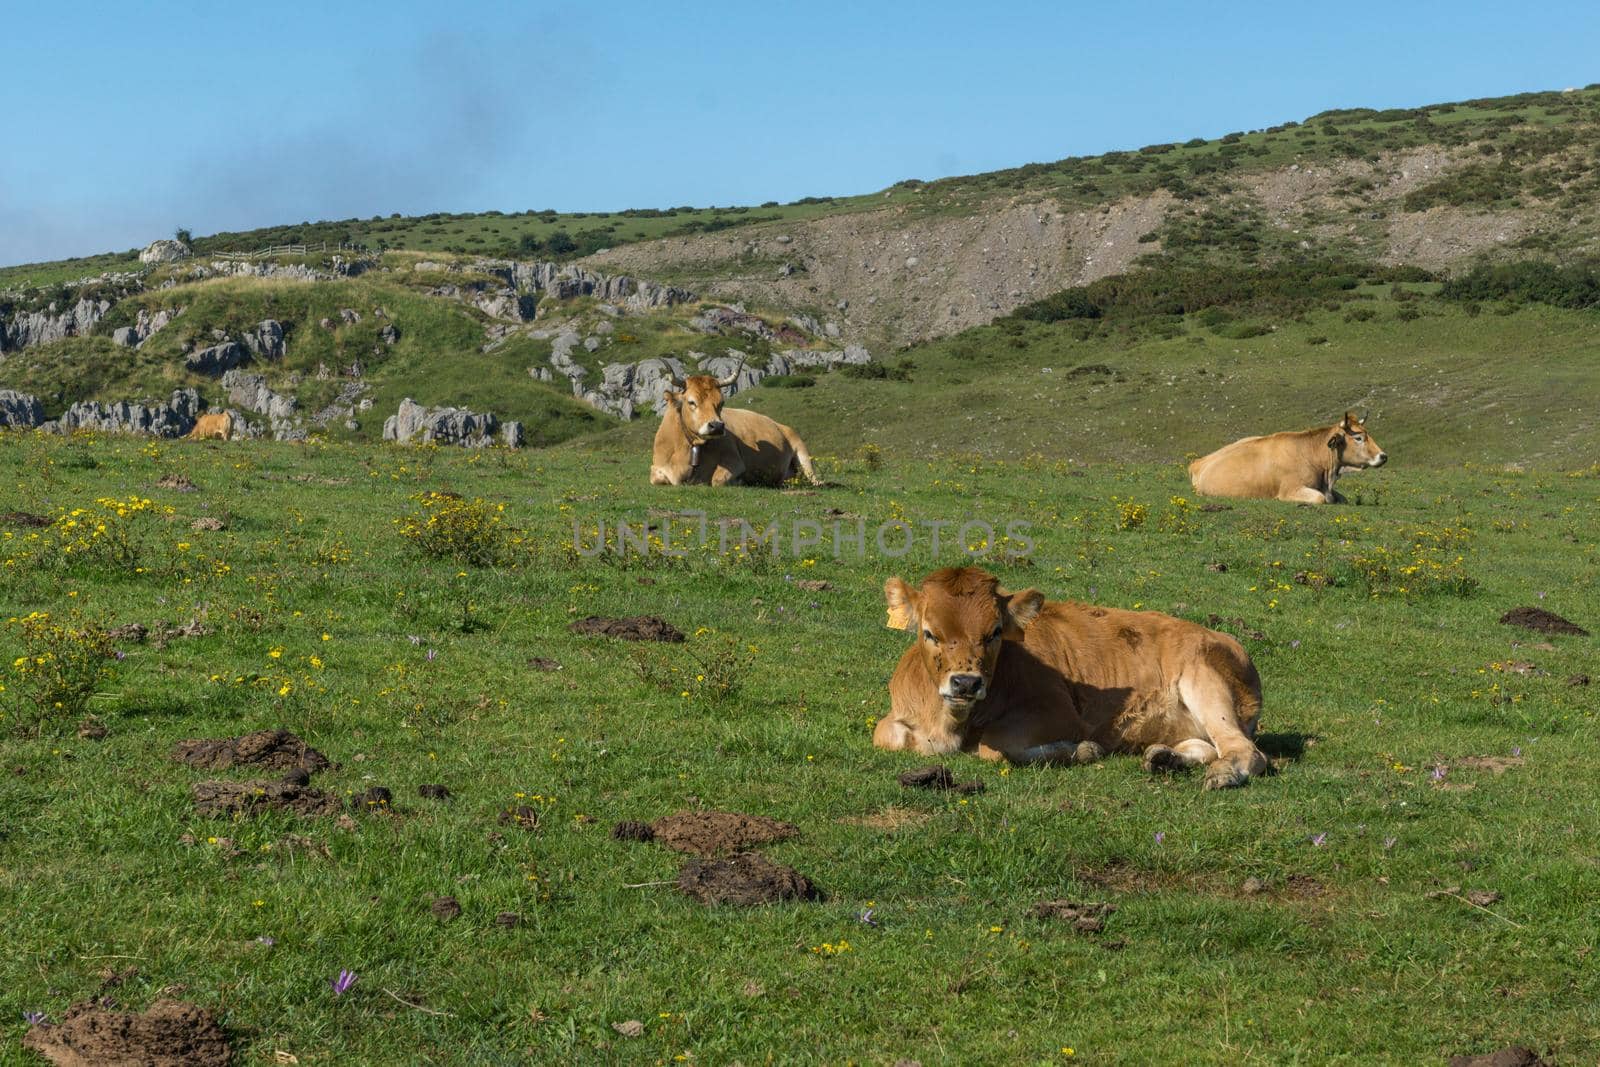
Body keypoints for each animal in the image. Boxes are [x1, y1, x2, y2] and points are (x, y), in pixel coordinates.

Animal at [652, 371, 825, 489]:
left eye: (721, 403)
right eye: (691, 402)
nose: (717, 426)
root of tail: (781, 425)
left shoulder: (735, 461)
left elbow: (717, 480)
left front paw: (742, 481)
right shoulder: (657, 468)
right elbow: (657, 479)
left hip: (802, 452)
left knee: (815, 480)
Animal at [876, 566, 1273, 793]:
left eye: (994, 632)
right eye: (929, 632)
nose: (965, 683)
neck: (951, 725)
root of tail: (1225, 639)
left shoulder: (1060, 711)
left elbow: (995, 746)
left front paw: (1082, 749)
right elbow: (885, 735)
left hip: (1205, 682)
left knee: (1243, 750)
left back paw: (1223, 774)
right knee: (1205, 746)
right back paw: (1164, 758)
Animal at [1190, 412, 1388, 508]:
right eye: (1359, 438)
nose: (1383, 456)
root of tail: (1198, 462)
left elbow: (1342, 499)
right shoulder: (1290, 490)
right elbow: (1319, 498)